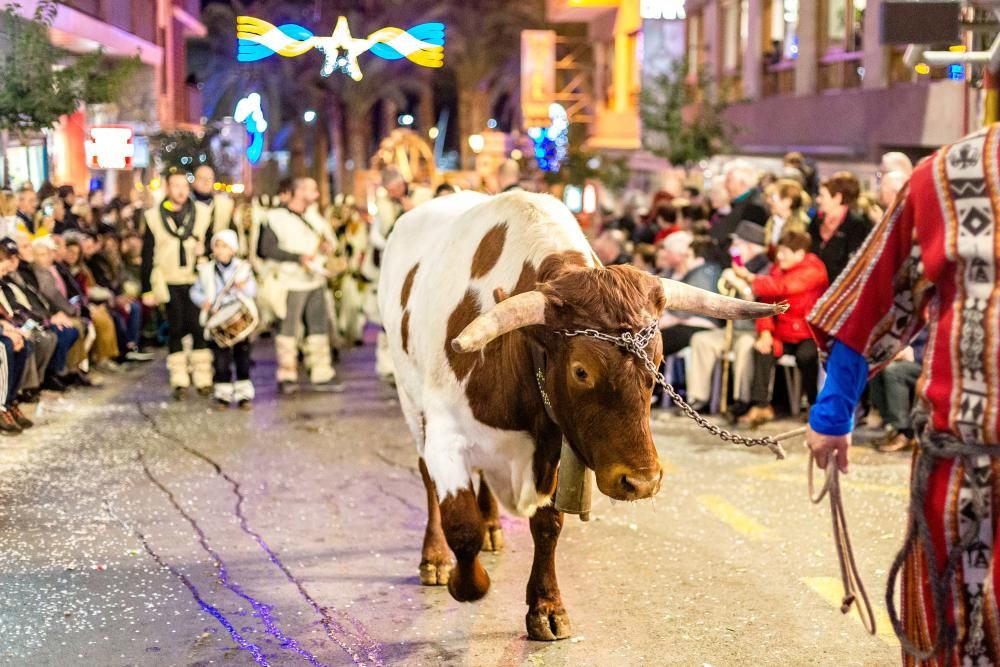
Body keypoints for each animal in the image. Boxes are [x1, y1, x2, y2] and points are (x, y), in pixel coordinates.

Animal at [378, 192, 776, 640]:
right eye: (581, 370)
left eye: (658, 362)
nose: (642, 481)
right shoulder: (444, 436)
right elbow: (462, 526)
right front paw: (466, 582)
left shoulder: (557, 442)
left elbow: (548, 524)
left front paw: (546, 607)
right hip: (410, 401)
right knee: (427, 477)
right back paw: (433, 557)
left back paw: (495, 527)